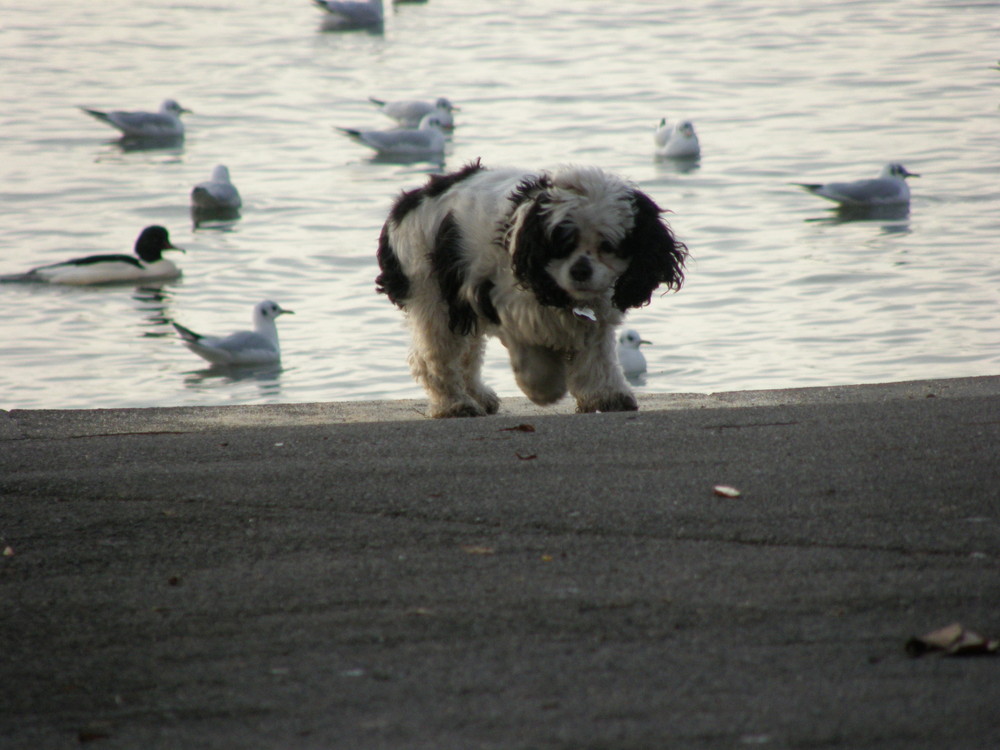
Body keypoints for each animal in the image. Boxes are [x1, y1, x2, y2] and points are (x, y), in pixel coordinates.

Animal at [376, 160, 688, 418]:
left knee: (468, 355)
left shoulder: (595, 318)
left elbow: (597, 358)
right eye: (562, 244)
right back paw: (455, 403)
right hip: (432, 298)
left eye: (608, 246)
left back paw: (478, 395)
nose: (580, 270)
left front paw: (607, 395)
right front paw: (544, 389)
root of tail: (407, 202)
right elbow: (533, 355)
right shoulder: (509, 305)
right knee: (434, 358)